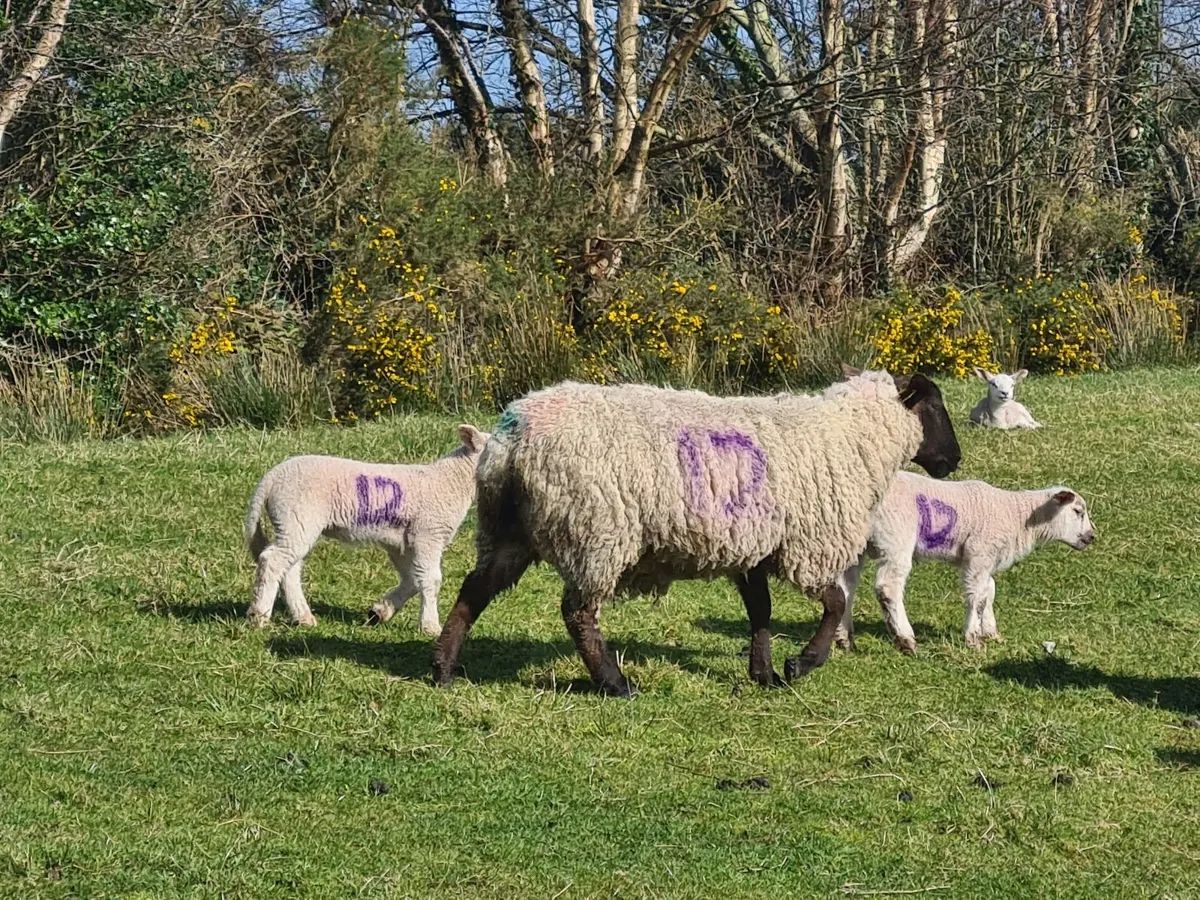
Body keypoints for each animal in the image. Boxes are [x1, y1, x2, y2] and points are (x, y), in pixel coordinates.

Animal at [243, 424, 490, 634]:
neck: (452, 481)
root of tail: (270, 479)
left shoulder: (402, 542)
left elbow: (412, 579)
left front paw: (380, 612)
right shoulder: (428, 534)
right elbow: (431, 580)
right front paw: (430, 626)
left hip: (295, 524)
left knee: (290, 568)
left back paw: (303, 617)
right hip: (297, 516)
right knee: (272, 561)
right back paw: (259, 616)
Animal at [431, 368, 961, 697]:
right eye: (935, 406)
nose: (953, 460)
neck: (851, 437)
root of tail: (510, 439)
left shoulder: (753, 545)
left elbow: (760, 612)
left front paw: (764, 672)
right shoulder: (804, 545)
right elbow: (833, 603)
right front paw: (803, 663)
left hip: (508, 530)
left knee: (474, 591)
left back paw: (443, 669)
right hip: (596, 530)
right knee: (577, 613)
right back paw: (615, 684)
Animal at [833, 472, 1096, 654]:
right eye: (1078, 511)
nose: (1092, 536)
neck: (1018, 517)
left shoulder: (985, 558)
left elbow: (989, 591)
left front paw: (990, 632)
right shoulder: (979, 552)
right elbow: (977, 597)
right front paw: (973, 638)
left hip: (854, 542)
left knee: (846, 589)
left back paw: (844, 639)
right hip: (896, 539)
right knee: (888, 588)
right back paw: (906, 640)